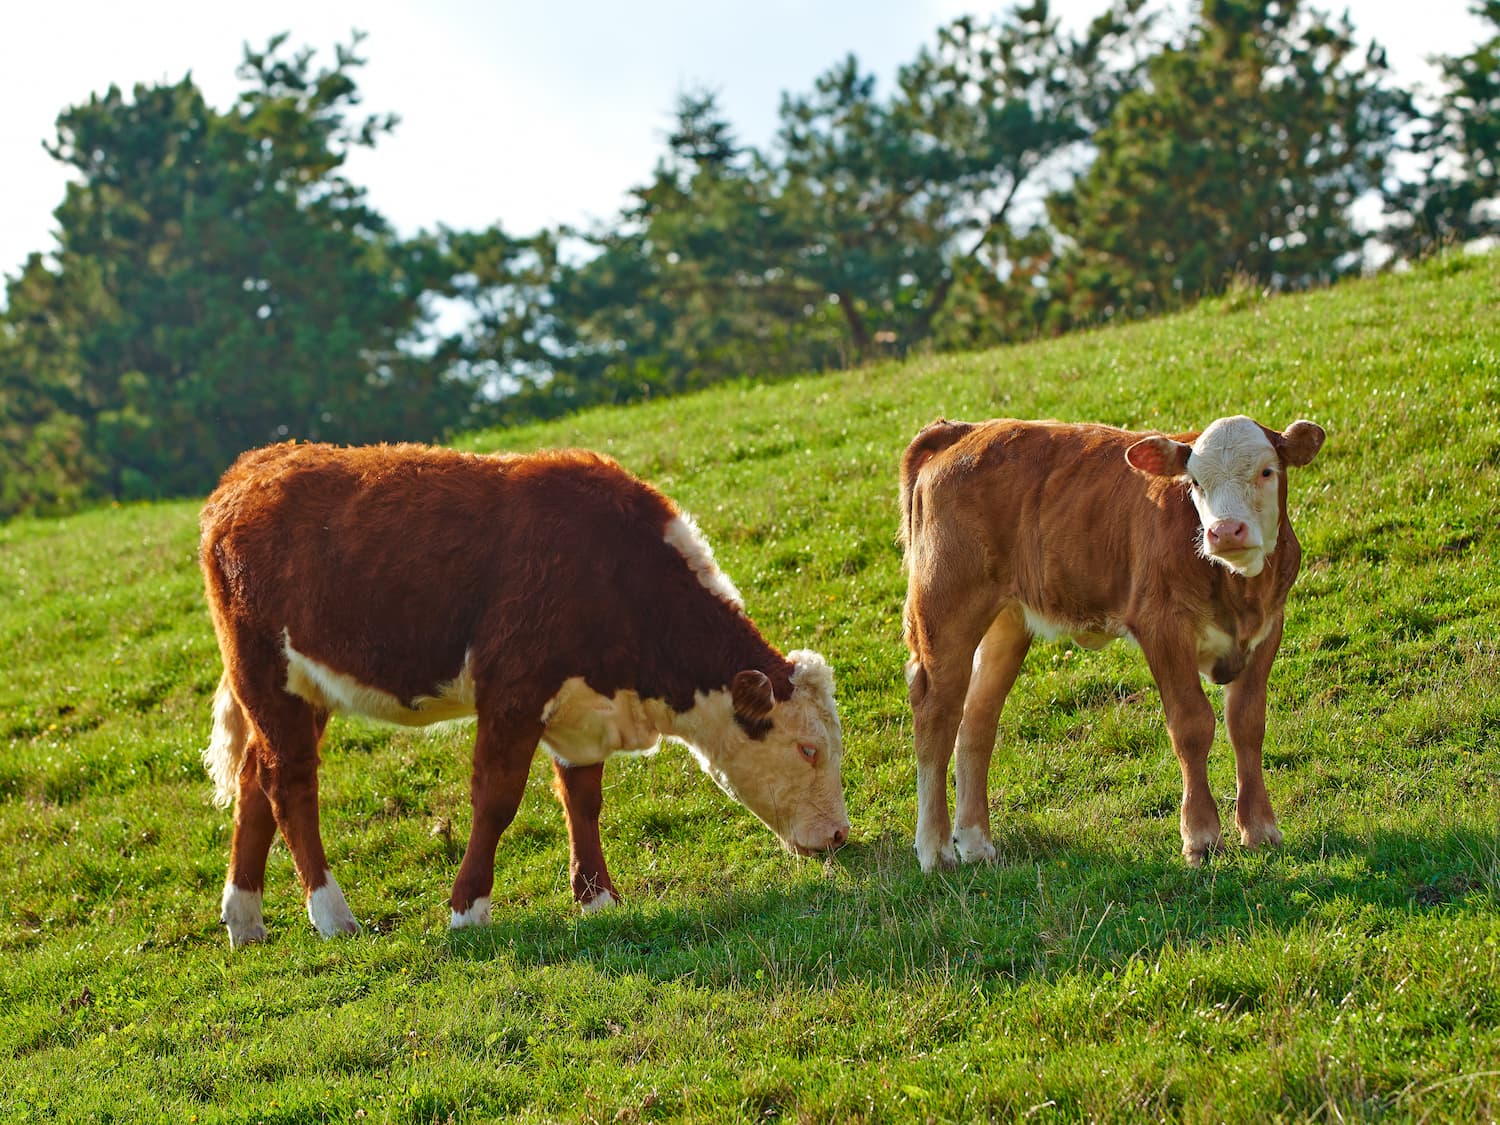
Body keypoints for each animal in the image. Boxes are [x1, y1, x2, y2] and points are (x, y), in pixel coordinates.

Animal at [199, 442, 850, 948]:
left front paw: (598, 899)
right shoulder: (513, 693)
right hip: (265, 673)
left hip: (305, 690)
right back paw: (332, 915)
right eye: (808, 750)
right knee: (289, 782)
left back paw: (246, 919)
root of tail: (253, 468)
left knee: (257, 776)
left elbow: (583, 800)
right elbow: (496, 798)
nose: (841, 835)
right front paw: (468, 911)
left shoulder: (583, 712)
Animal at [899, 415, 1325, 870]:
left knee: (976, 722)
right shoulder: (1162, 627)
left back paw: (976, 843)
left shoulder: (1269, 627)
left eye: (1266, 471)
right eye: (1195, 482)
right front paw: (1201, 836)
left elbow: (1246, 724)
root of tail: (965, 428)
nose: (1225, 531)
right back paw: (935, 849)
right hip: (946, 610)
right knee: (936, 716)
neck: (1236, 587)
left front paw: (1260, 829)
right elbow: (1191, 725)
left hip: (1007, 622)